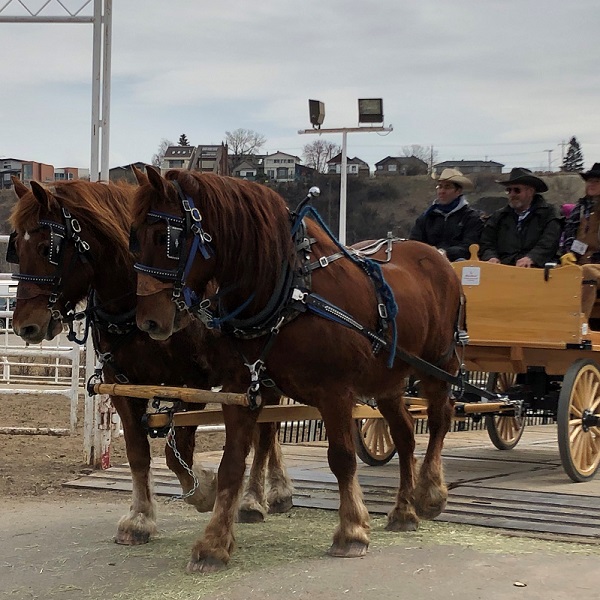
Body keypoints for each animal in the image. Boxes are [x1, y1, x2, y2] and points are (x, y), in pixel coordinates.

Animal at [7, 175, 292, 548]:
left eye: (47, 248)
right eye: (16, 247)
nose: (24, 326)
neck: (134, 306)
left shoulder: (194, 384)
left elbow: (177, 451)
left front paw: (204, 489)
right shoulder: (122, 384)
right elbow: (138, 453)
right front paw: (140, 518)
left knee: (267, 431)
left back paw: (256, 497)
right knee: (267, 429)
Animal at [134, 165, 464, 572]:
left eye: (168, 238)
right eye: (133, 237)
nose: (148, 321)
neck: (289, 290)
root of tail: (437, 258)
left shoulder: (336, 392)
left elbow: (341, 458)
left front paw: (352, 530)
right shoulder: (242, 389)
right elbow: (231, 465)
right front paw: (214, 543)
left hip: (438, 366)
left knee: (439, 419)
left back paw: (430, 492)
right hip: (387, 381)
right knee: (403, 435)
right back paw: (403, 511)